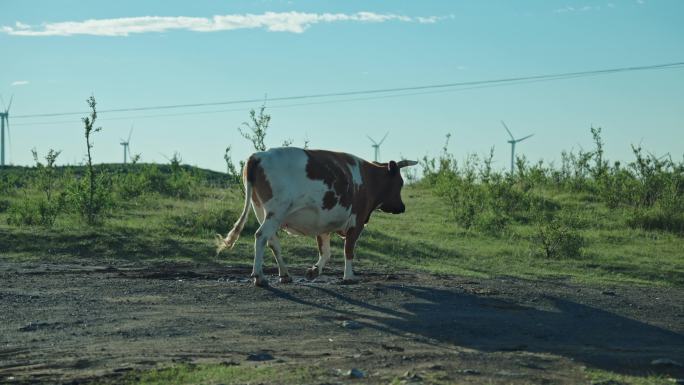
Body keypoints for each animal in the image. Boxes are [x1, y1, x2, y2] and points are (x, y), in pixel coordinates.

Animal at [218, 147, 416, 284]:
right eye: (400, 183)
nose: (402, 207)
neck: (368, 178)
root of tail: (258, 156)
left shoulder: (323, 223)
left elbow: (326, 252)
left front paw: (314, 271)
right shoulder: (357, 220)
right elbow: (349, 249)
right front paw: (349, 276)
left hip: (261, 210)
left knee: (272, 241)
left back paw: (285, 275)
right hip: (275, 212)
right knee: (261, 236)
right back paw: (259, 277)